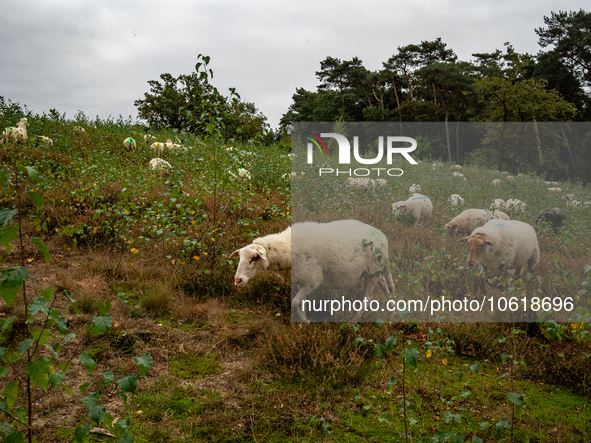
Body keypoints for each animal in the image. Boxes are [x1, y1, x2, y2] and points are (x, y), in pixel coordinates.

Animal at [229, 221, 396, 322]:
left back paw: (352, 321)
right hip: (373, 271)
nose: (238, 280)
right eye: (240, 257)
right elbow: (301, 303)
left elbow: (295, 303)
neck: (286, 250)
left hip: (372, 271)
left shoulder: (312, 280)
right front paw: (303, 322)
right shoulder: (300, 281)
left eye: (254, 258)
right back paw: (392, 309)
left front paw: (305, 320)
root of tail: (383, 237)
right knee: (384, 285)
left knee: (368, 297)